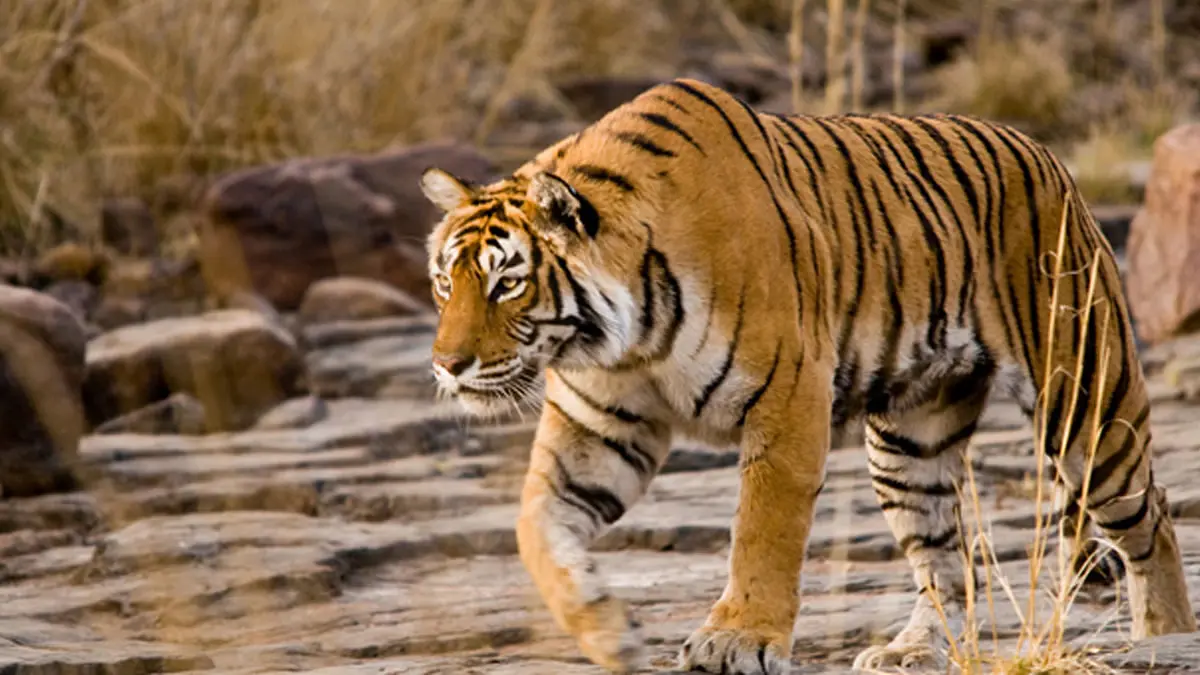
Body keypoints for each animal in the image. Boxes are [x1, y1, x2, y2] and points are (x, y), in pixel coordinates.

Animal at [417, 76, 1195, 667]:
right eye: (443, 282)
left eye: (506, 284)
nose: (447, 364)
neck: (621, 339)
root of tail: (1045, 153)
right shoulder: (598, 428)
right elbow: (536, 528)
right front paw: (610, 630)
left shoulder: (788, 395)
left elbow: (764, 530)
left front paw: (735, 639)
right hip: (909, 441)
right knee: (945, 557)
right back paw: (914, 650)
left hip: (1086, 401)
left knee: (1149, 511)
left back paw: (1162, 636)